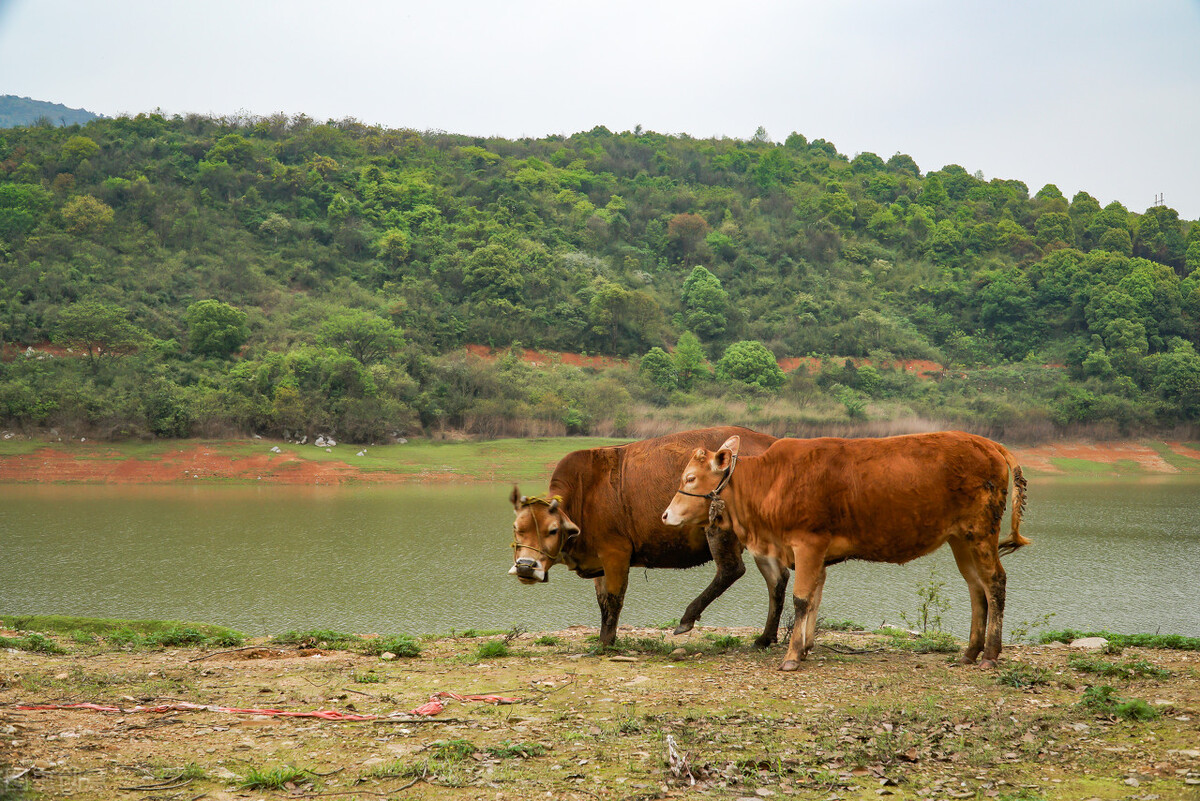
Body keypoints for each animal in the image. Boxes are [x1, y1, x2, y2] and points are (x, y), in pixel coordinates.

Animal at [506, 429, 787, 647]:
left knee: (732, 570)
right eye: (516, 527)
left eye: (553, 530)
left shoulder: (616, 553)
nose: (526, 566)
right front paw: (604, 639)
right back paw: (766, 638)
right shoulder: (598, 560)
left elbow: (614, 599)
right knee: (777, 579)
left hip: (720, 527)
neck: (583, 494)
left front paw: (605, 644)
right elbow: (603, 602)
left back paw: (687, 619)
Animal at [662, 431, 1027, 671]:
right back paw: (970, 652)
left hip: (981, 532)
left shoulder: (808, 543)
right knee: (976, 588)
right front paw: (805, 647)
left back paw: (990, 654)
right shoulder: (816, 553)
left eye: (690, 477)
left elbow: (801, 598)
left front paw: (792, 656)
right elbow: (814, 597)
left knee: (994, 582)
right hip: (961, 538)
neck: (770, 482)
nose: (665, 515)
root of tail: (988, 443)